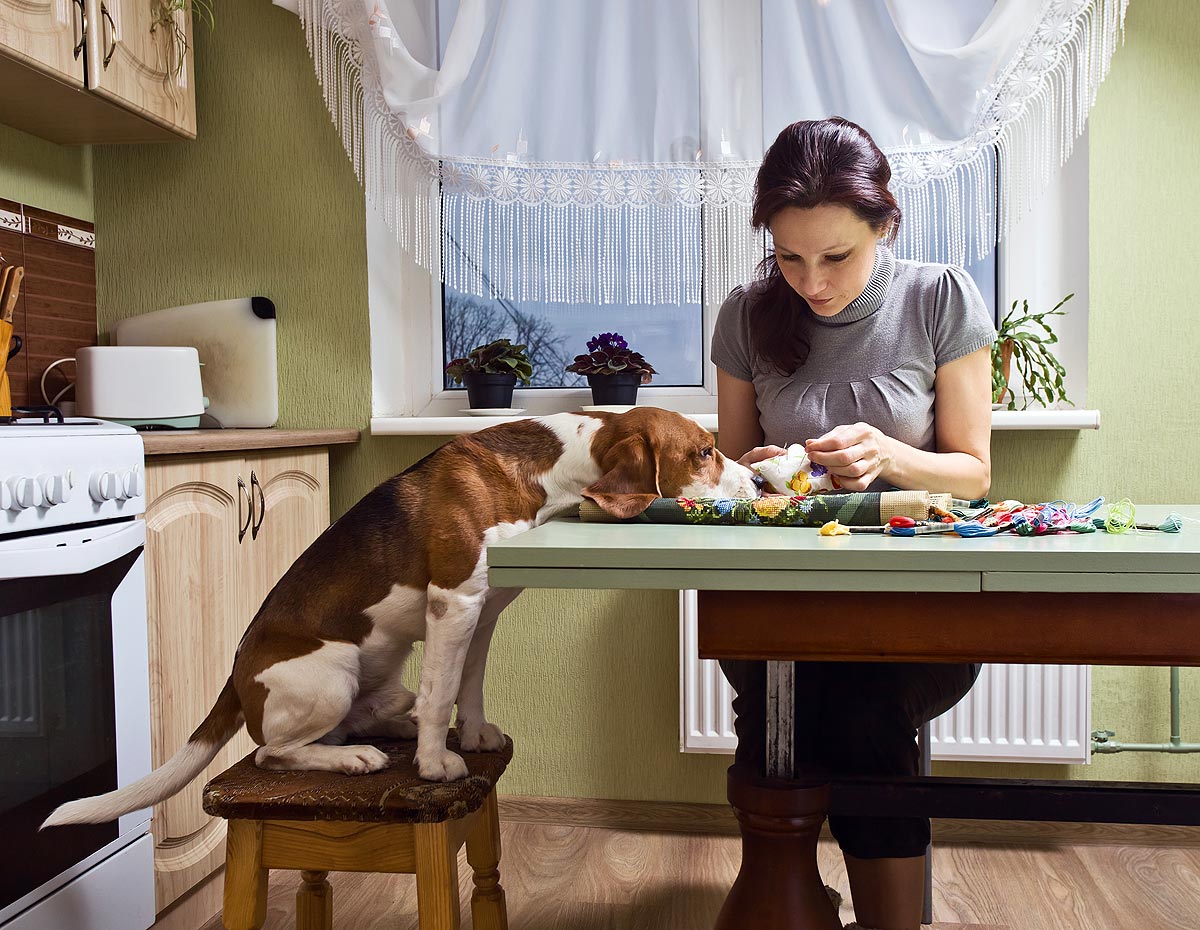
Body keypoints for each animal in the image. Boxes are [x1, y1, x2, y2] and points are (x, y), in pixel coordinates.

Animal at [49, 410, 758, 825]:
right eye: (704, 452)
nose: (755, 484)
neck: (549, 467)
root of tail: (236, 679)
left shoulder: (483, 611)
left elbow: (467, 685)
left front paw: (471, 737)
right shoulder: (454, 603)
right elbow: (444, 692)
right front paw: (438, 764)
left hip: (376, 672)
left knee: (373, 713)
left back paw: (395, 723)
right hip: (329, 674)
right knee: (274, 753)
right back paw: (355, 759)